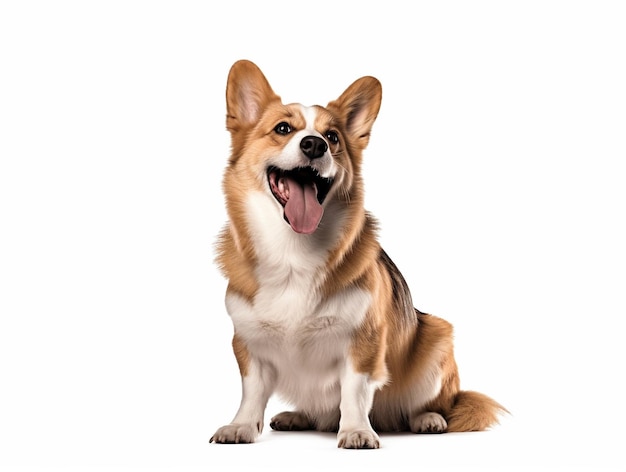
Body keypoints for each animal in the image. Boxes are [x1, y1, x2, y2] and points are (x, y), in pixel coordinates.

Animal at [210, 60, 508, 448]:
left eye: (333, 137)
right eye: (282, 129)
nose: (314, 144)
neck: (293, 250)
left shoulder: (364, 341)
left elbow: (353, 390)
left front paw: (355, 431)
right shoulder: (249, 342)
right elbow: (252, 391)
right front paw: (241, 426)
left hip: (437, 339)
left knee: (425, 405)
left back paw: (427, 419)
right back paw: (298, 416)